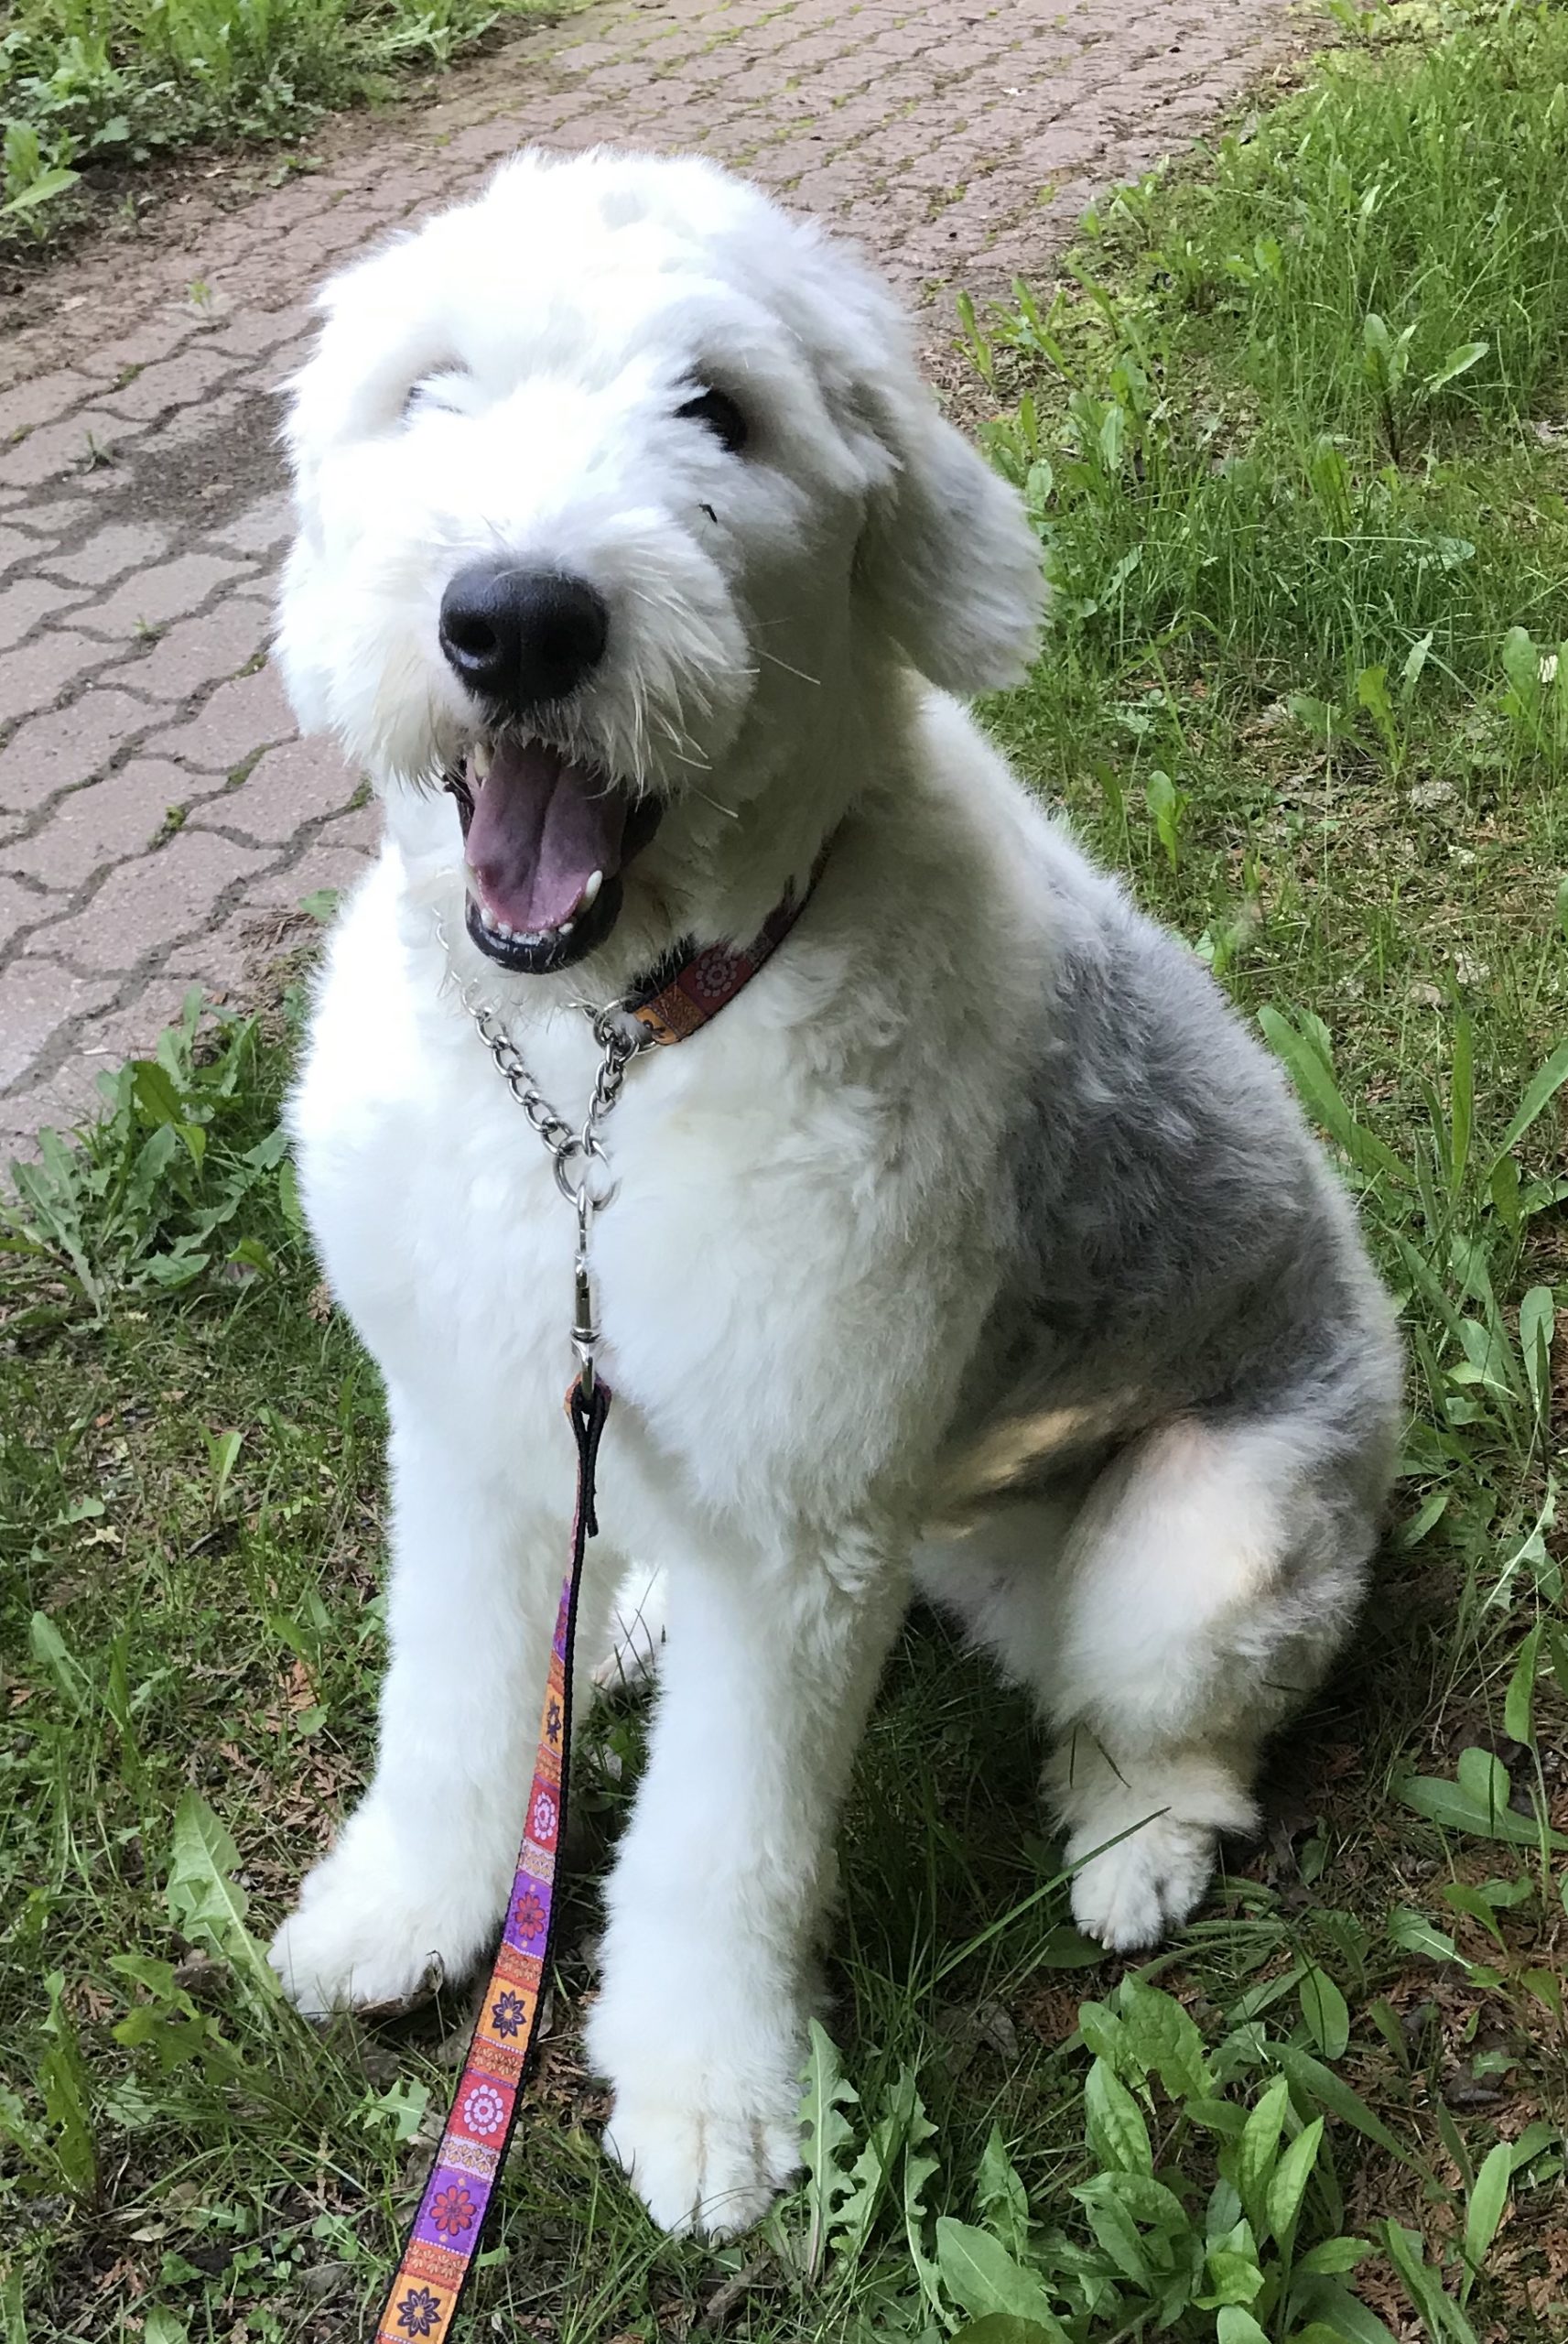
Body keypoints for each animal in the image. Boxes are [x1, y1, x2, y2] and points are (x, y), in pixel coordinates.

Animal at [265, 146, 1397, 2231]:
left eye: (719, 408)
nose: (517, 618)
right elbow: (449, 1705)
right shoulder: (463, 1428)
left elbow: (725, 1844)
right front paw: (404, 1910)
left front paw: (709, 2097)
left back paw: (1133, 1845)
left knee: (1174, 1722)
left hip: (1203, 1556)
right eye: (430, 386)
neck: (600, 1073)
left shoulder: (794, 1540)